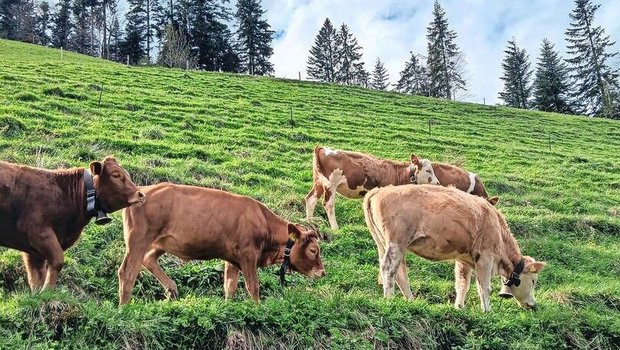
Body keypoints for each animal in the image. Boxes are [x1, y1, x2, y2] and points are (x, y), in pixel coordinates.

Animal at [0, 157, 144, 292]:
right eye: (116, 175)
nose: (141, 194)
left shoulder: (33, 250)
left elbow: (35, 277)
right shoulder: (38, 232)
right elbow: (57, 260)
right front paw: (47, 290)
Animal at [118, 182, 326, 304]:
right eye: (313, 250)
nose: (323, 272)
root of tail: (142, 191)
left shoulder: (232, 259)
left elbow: (230, 286)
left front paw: (228, 308)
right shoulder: (248, 255)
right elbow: (253, 286)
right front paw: (257, 309)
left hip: (160, 242)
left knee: (148, 259)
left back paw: (172, 288)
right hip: (138, 240)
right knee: (127, 272)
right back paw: (124, 308)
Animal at [302, 146, 438, 230]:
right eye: (428, 170)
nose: (437, 183)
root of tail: (322, 148)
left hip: (319, 182)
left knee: (311, 200)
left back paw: (310, 222)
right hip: (331, 185)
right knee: (328, 204)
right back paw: (335, 227)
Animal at [364, 185, 548, 314]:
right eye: (533, 281)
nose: (533, 305)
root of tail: (380, 190)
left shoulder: (464, 259)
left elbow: (462, 284)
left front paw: (459, 307)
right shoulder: (485, 257)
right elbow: (484, 287)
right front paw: (487, 312)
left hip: (385, 244)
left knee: (400, 273)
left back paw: (410, 300)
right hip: (397, 242)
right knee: (389, 270)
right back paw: (389, 299)